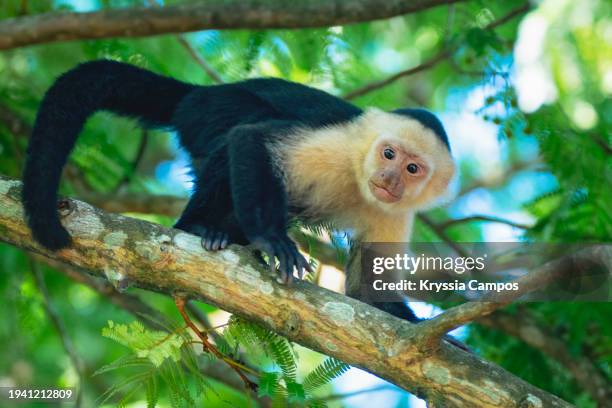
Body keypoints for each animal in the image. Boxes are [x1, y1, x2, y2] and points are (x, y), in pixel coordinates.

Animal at [21, 59, 454, 316]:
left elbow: (368, 297)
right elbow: (251, 138)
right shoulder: (339, 148)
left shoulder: (396, 213)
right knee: (237, 132)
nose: (390, 179)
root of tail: (202, 92)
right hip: (209, 110)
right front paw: (272, 240)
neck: (359, 179)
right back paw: (197, 226)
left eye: (412, 168)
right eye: (388, 154)